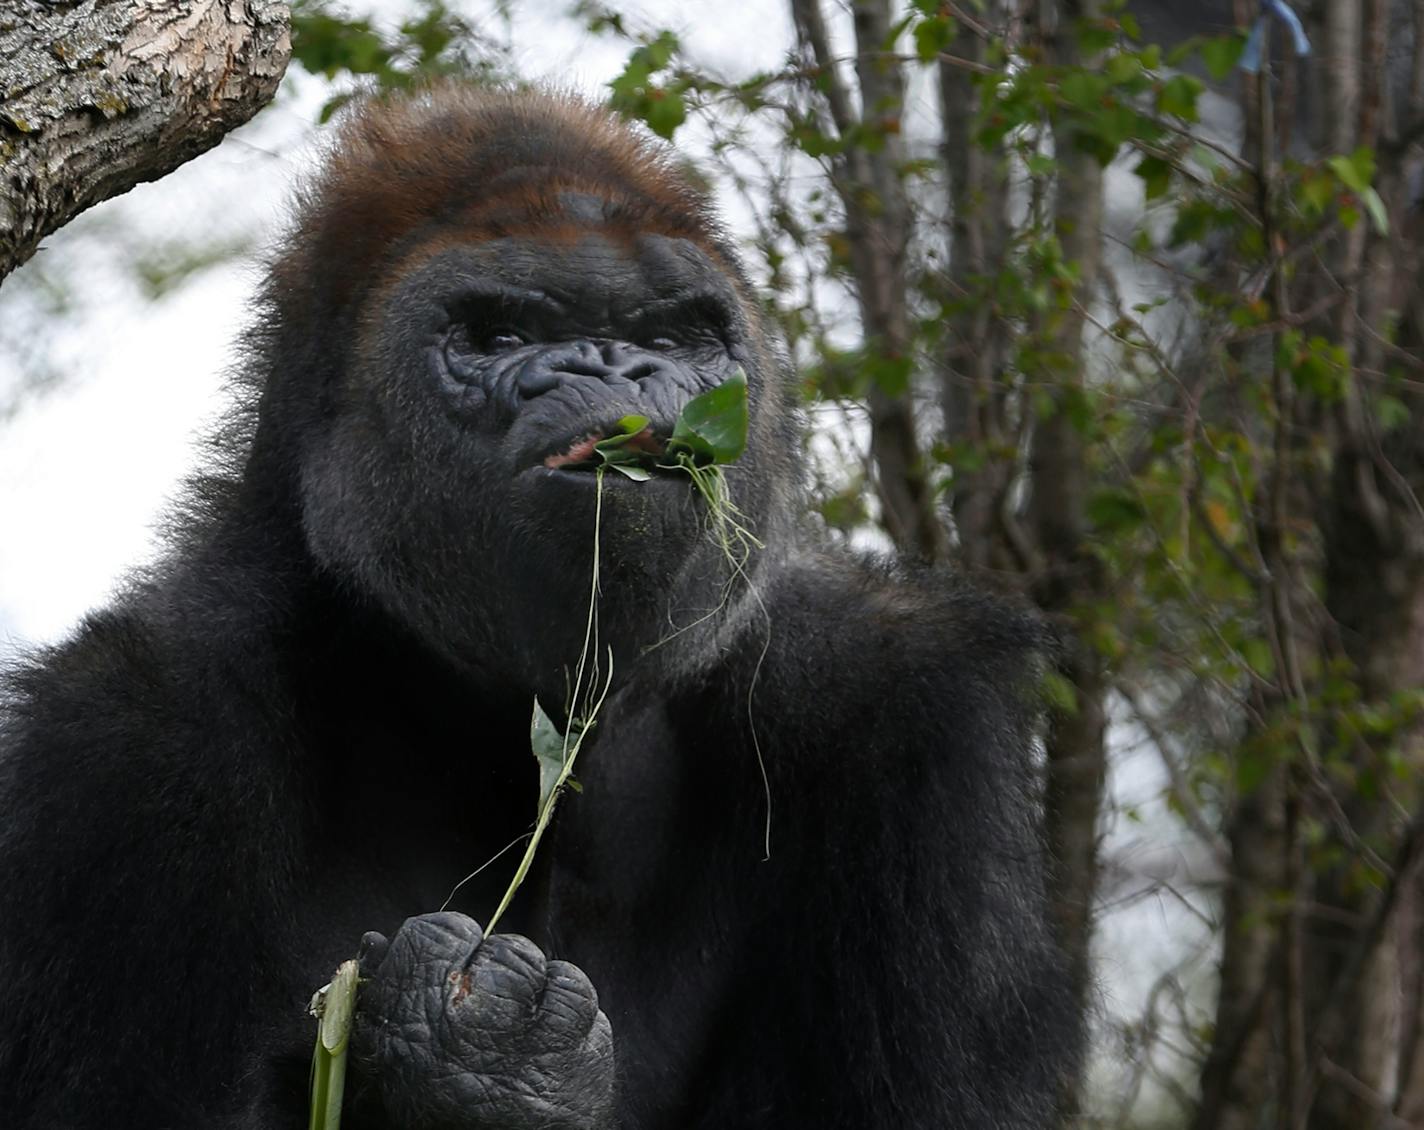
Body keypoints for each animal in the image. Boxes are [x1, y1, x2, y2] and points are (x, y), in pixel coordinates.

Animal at [0, 90, 1070, 1127]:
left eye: (667, 339)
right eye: (502, 337)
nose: (614, 371)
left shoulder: (914, 714)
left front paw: (483, 1067)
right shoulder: (124, 732)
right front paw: (471, 1062)